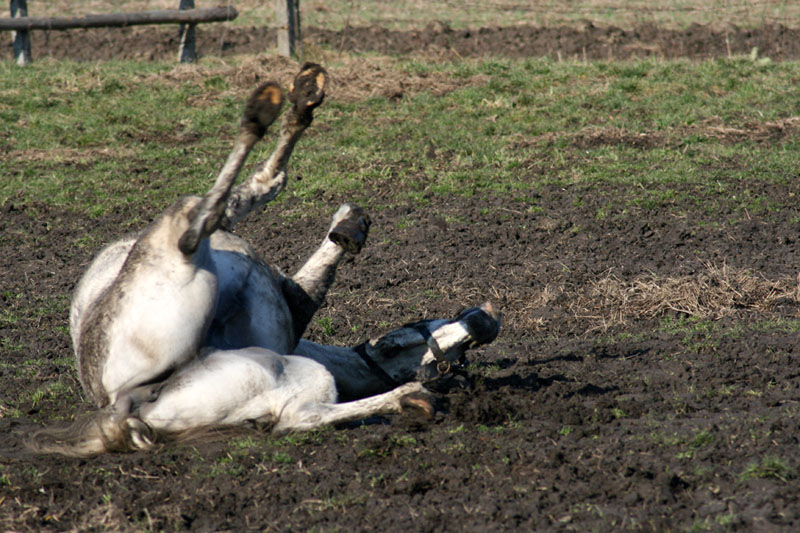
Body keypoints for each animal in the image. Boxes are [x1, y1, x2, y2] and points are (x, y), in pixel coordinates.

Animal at [29, 64, 500, 456]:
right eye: (407, 338)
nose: (483, 321)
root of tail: (123, 409)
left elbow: (252, 197)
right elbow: (260, 201)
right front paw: (349, 223)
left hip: (194, 281)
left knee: (193, 227)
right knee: (204, 218)